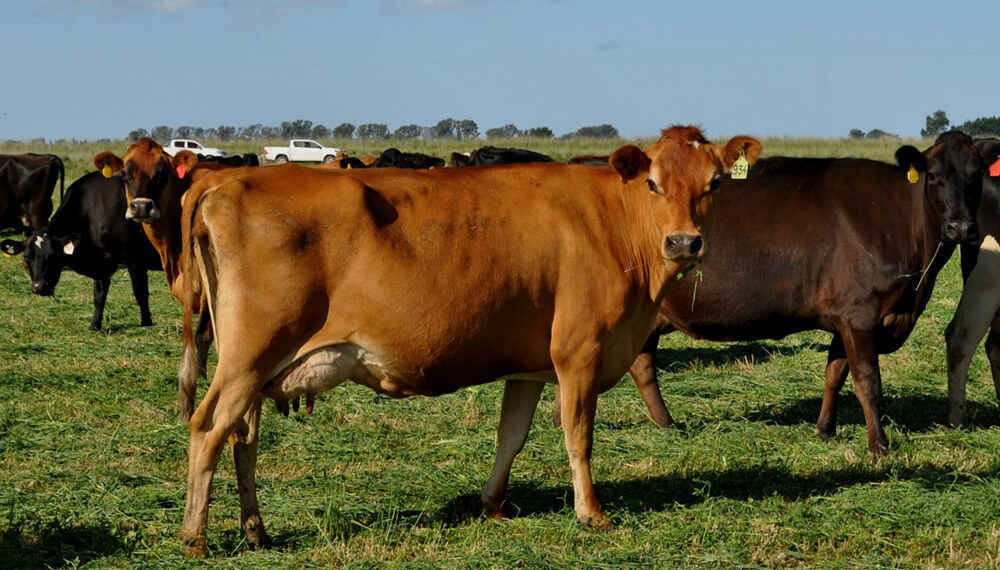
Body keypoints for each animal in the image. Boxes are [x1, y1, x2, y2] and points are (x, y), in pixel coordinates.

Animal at [1, 170, 162, 328]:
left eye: (53, 257)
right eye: (27, 257)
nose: (38, 286)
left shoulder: (134, 257)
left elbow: (140, 292)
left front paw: (146, 324)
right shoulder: (102, 261)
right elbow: (99, 295)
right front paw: (94, 326)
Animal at [176, 125, 760, 556]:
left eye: (715, 183)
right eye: (653, 184)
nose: (683, 243)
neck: (614, 226)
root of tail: (227, 183)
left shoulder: (531, 365)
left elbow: (512, 436)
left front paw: (492, 503)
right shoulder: (580, 353)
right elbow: (578, 437)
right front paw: (591, 514)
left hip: (256, 364)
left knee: (243, 438)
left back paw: (257, 531)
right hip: (250, 355)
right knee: (208, 427)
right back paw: (195, 537)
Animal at [556, 131, 984, 454]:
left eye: (977, 175)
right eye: (934, 176)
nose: (961, 227)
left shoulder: (844, 315)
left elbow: (835, 373)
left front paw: (824, 430)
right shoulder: (861, 313)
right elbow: (868, 381)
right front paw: (879, 446)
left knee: (640, 365)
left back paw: (661, 425)